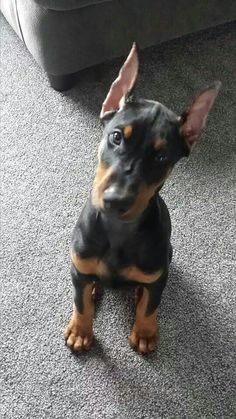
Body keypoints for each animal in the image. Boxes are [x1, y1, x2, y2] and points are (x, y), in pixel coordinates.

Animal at [64, 44, 221, 354]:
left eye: (161, 157)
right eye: (116, 137)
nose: (116, 200)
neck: (118, 230)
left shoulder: (157, 275)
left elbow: (151, 305)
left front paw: (146, 332)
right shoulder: (78, 265)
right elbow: (80, 301)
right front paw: (80, 331)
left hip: (168, 254)